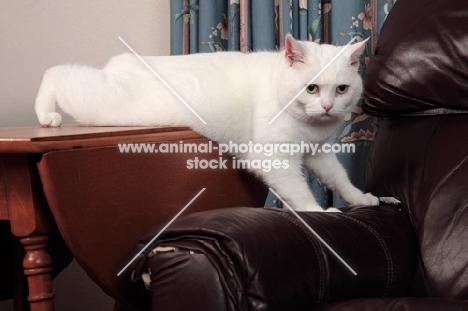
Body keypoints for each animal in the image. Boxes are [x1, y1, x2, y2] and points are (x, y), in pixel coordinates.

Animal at [35, 35, 380, 213]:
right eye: (311, 88)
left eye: (341, 89)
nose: (327, 106)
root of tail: (122, 62)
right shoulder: (274, 158)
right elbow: (300, 192)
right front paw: (320, 213)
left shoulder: (319, 153)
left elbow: (339, 178)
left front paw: (360, 199)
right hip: (101, 104)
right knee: (57, 73)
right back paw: (47, 116)